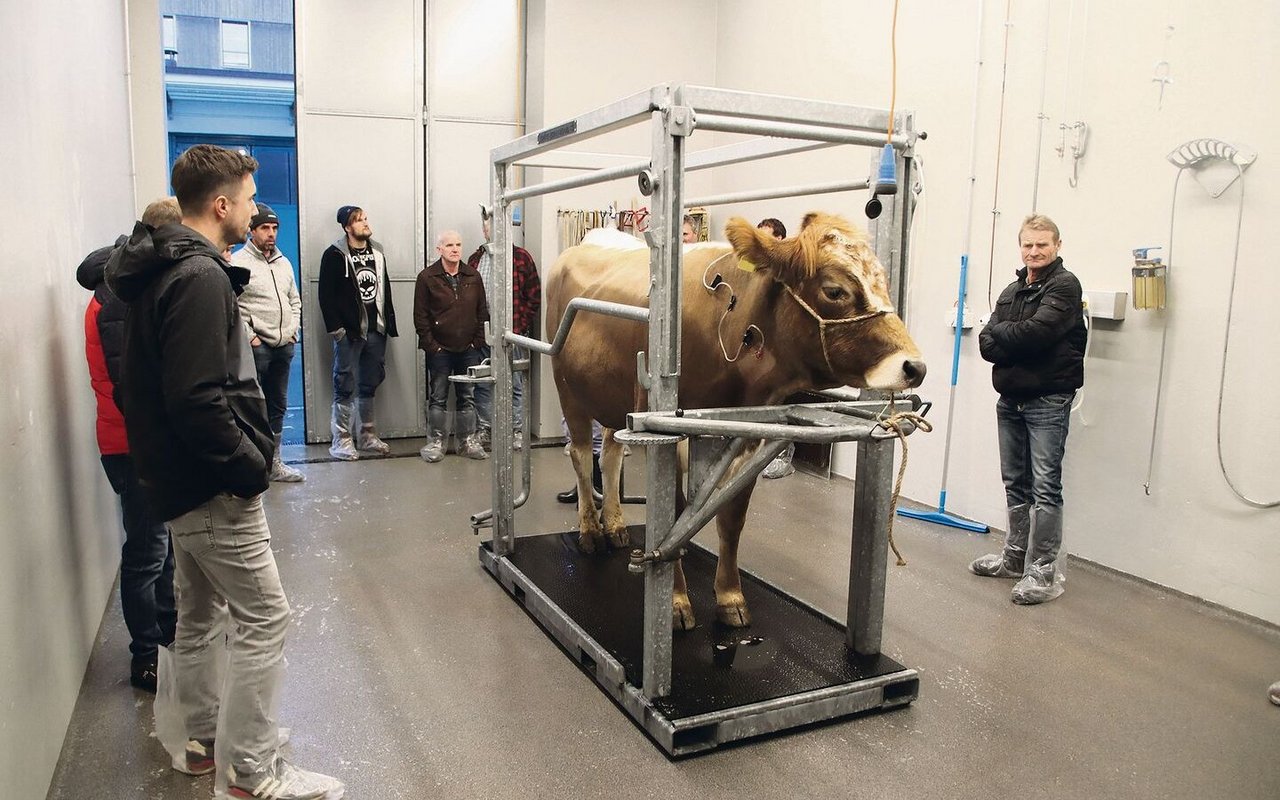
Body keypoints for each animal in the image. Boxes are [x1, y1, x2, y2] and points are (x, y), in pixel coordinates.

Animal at [545, 212, 926, 629]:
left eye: (883, 281)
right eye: (834, 291)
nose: (915, 366)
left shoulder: (746, 437)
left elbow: (732, 520)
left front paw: (730, 598)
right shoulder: (666, 435)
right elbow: (672, 517)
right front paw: (675, 603)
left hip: (611, 397)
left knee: (611, 455)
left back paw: (614, 524)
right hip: (567, 389)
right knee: (582, 456)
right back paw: (590, 531)